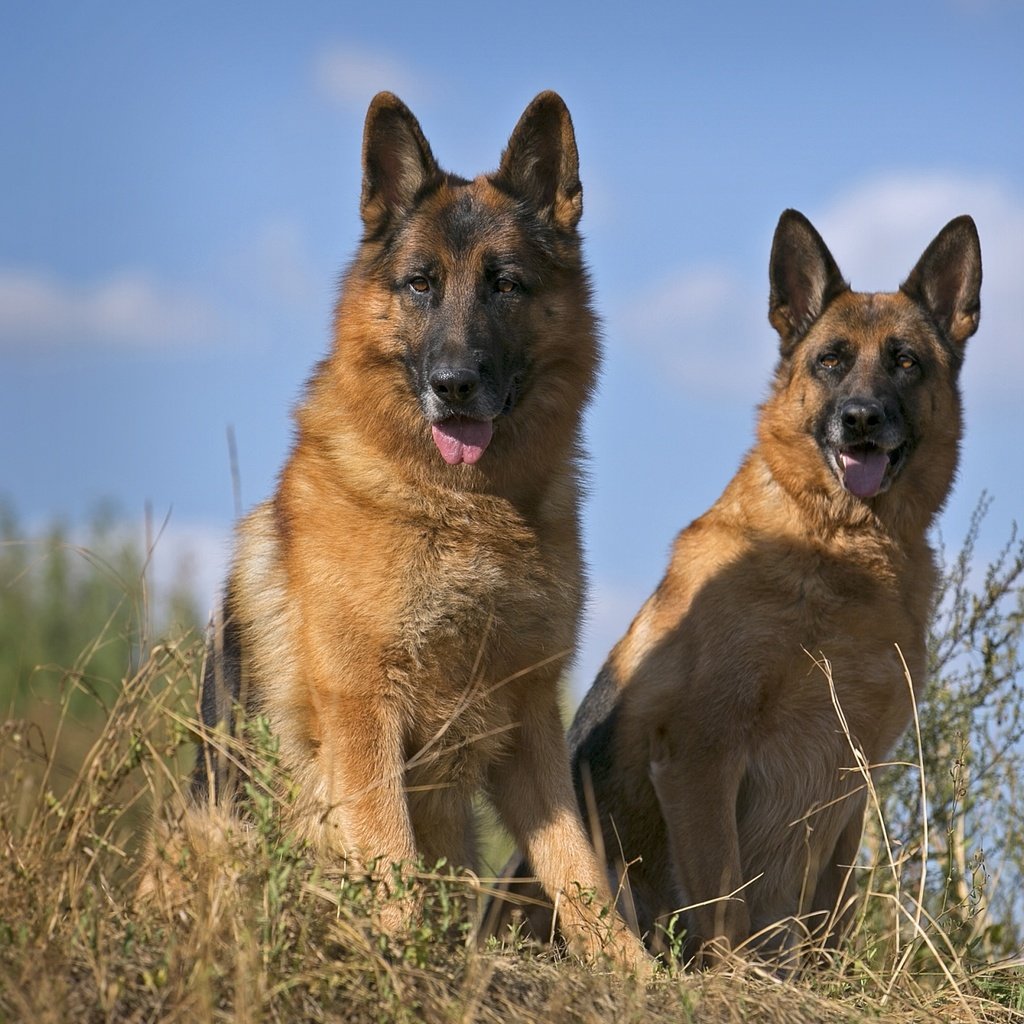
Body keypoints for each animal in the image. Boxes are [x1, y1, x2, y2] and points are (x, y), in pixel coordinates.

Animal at [499, 205, 978, 958]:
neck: (838, 545)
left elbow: (830, 912)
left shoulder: (853, 784)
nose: (861, 419)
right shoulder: (701, 756)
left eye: (906, 361)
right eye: (830, 360)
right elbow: (723, 899)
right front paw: (732, 974)